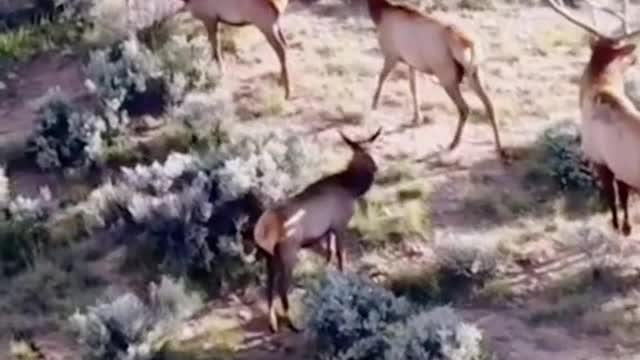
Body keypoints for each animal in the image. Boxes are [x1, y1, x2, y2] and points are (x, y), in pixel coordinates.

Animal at [251, 128, 382, 334]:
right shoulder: (340, 224)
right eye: (361, 153)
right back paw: (294, 323)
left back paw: (272, 323)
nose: (376, 167)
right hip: (288, 251)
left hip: (268, 255)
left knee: (269, 286)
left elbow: (329, 254)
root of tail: (261, 229)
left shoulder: (327, 230)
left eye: (373, 148)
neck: (351, 187)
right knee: (282, 287)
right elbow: (341, 256)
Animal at [364, 0, 504, 159]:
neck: (380, 11)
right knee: (490, 106)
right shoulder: (411, 63)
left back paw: (454, 143)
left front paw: (374, 105)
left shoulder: (391, 55)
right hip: (475, 74)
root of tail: (470, 45)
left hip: (447, 77)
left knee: (464, 108)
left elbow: (382, 78)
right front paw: (417, 118)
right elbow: (413, 88)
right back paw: (500, 148)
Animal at [544, 0, 640, 235]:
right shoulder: (618, 166)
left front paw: (617, 226)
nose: (635, 57)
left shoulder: (599, 158)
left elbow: (613, 199)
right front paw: (627, 227)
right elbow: (623, 198)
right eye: (623, 53)